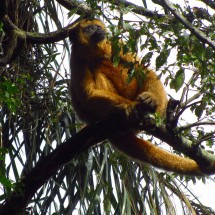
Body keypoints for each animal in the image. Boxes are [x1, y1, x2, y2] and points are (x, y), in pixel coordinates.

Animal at [69, 18, 205, 176]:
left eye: (98, 26)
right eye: (90, 28)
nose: (98, 29)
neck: (96, 52)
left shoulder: (117, 43)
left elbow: (144, 70)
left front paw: (153, 100)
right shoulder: (76, 58)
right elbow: (88, 95)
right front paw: (130, 106)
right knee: (98, 73)